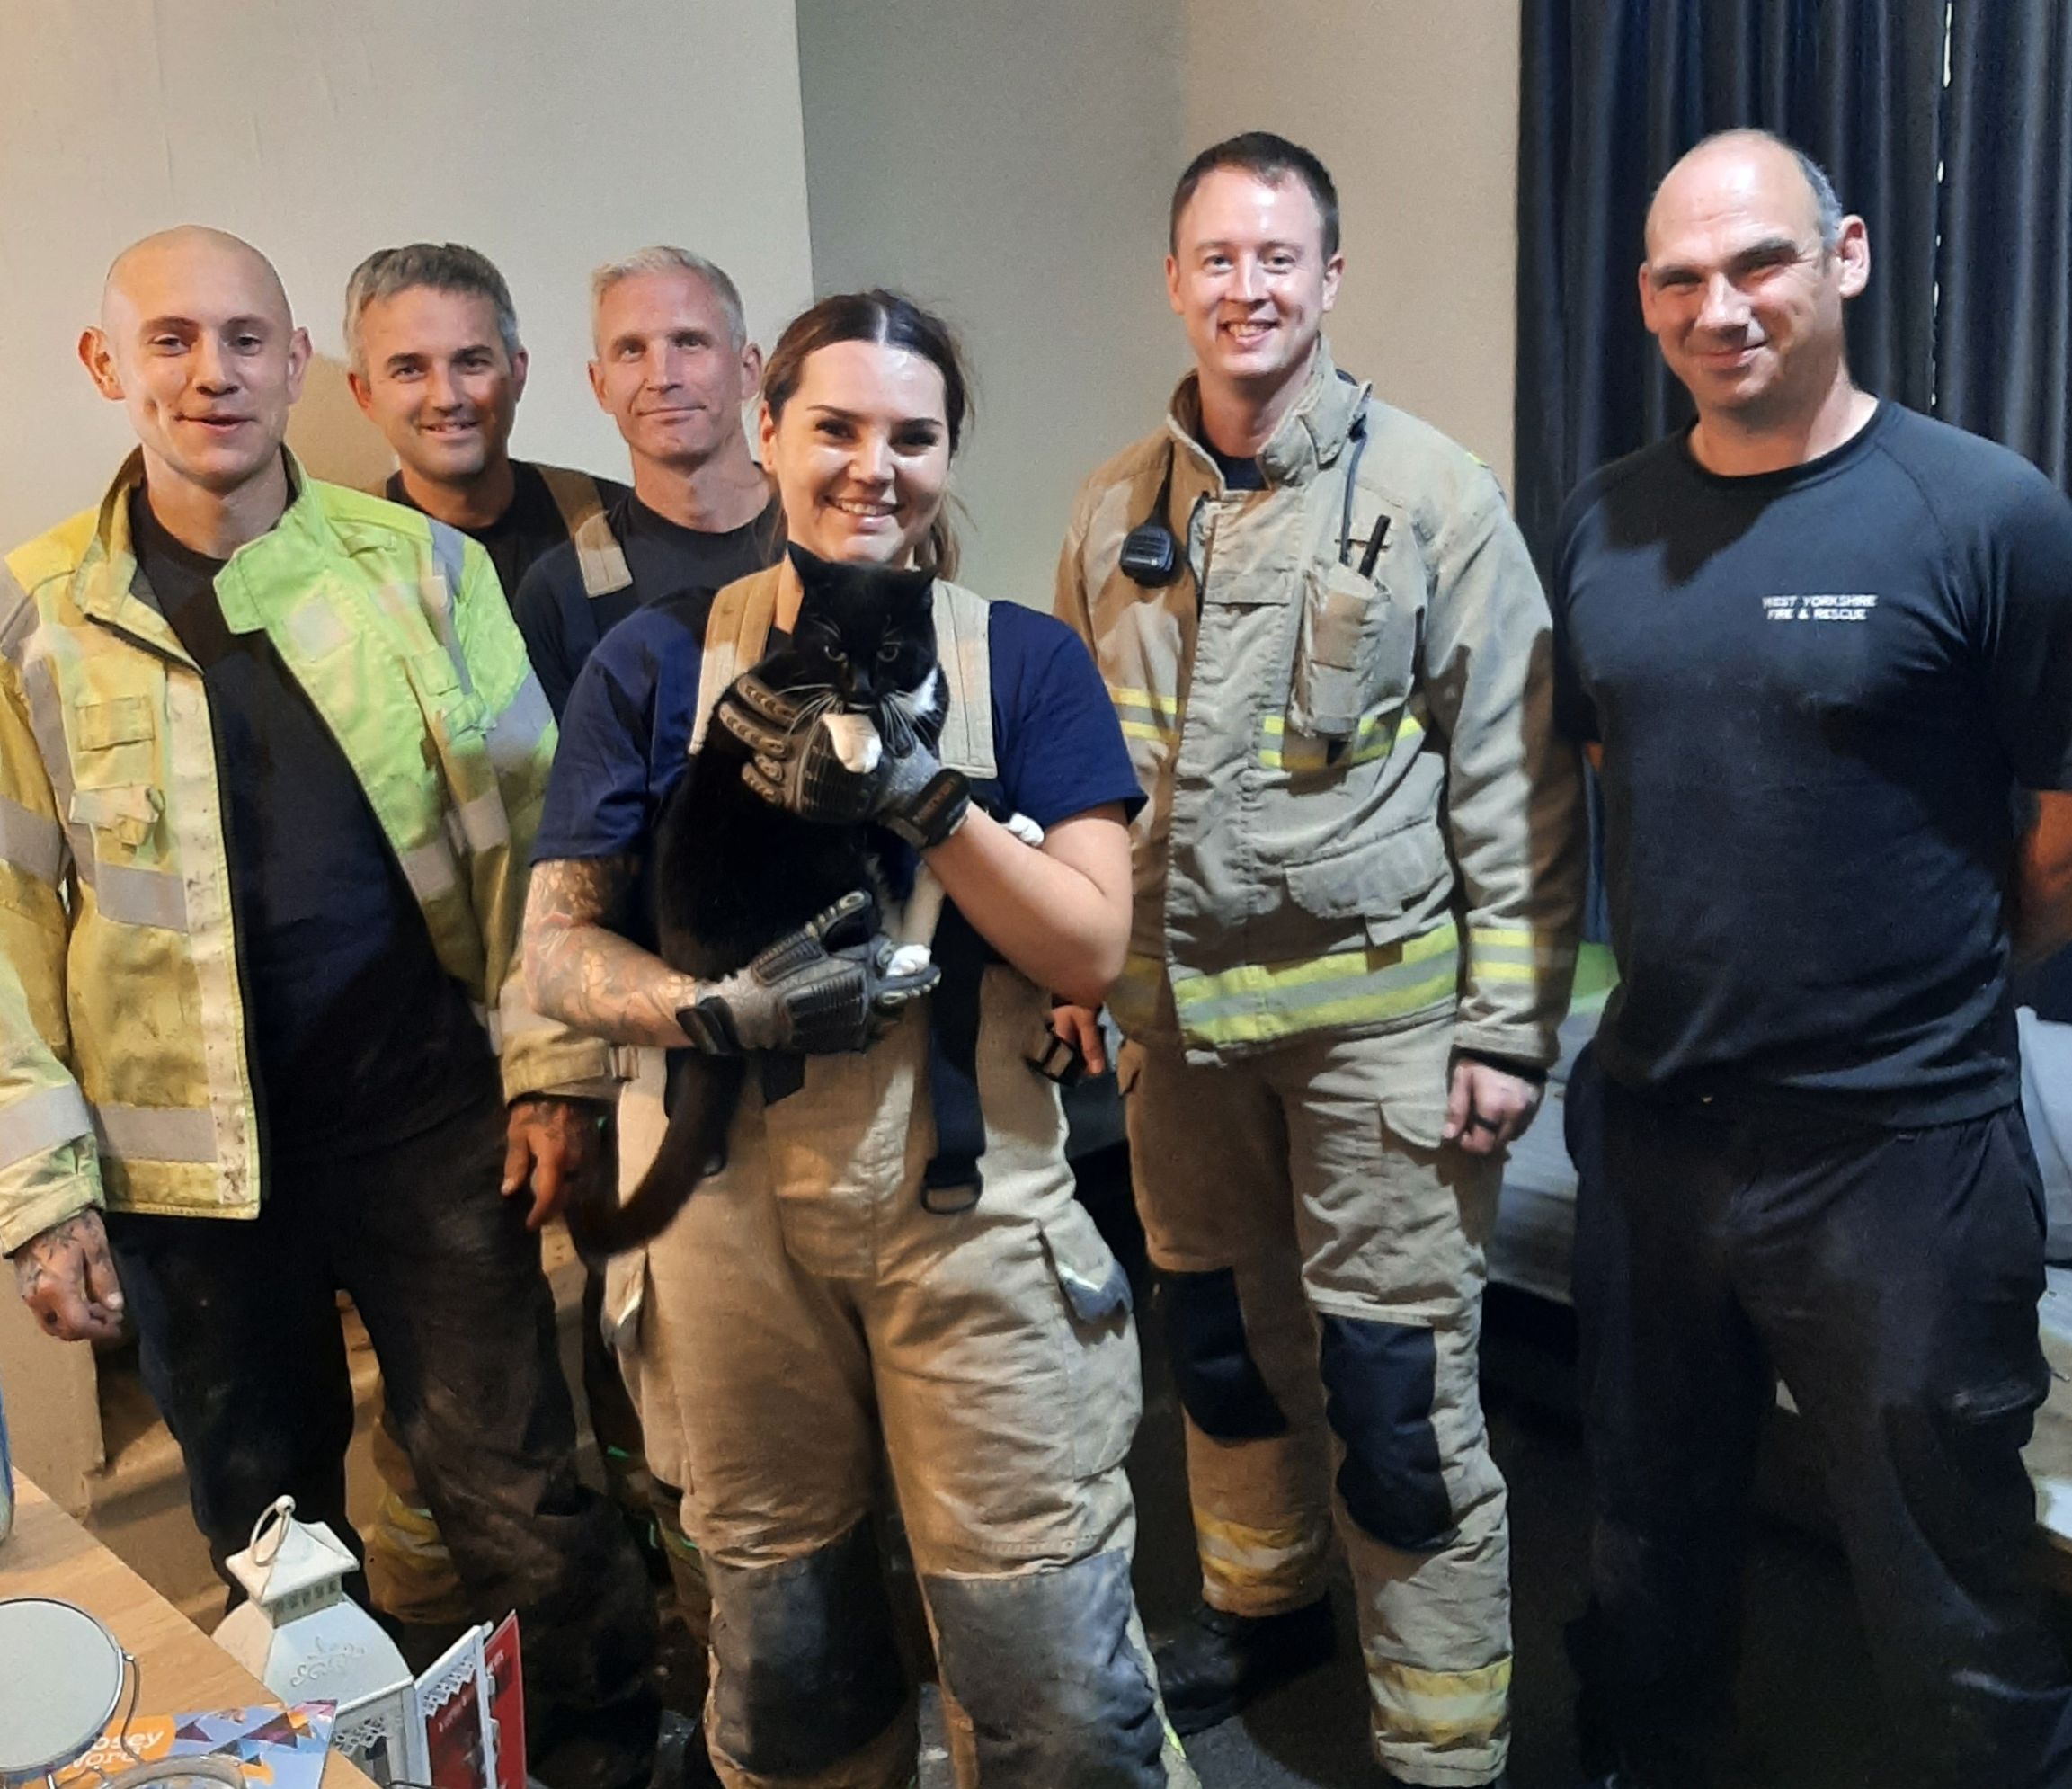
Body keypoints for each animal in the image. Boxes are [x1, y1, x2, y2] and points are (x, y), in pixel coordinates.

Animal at [559, 547, 948, 1259]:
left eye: (887, 650)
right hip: (823, 869)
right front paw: (857, 741)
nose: (858, 687)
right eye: (831, 648)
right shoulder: (757, 693)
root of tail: (709, 981)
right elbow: (817, 712)